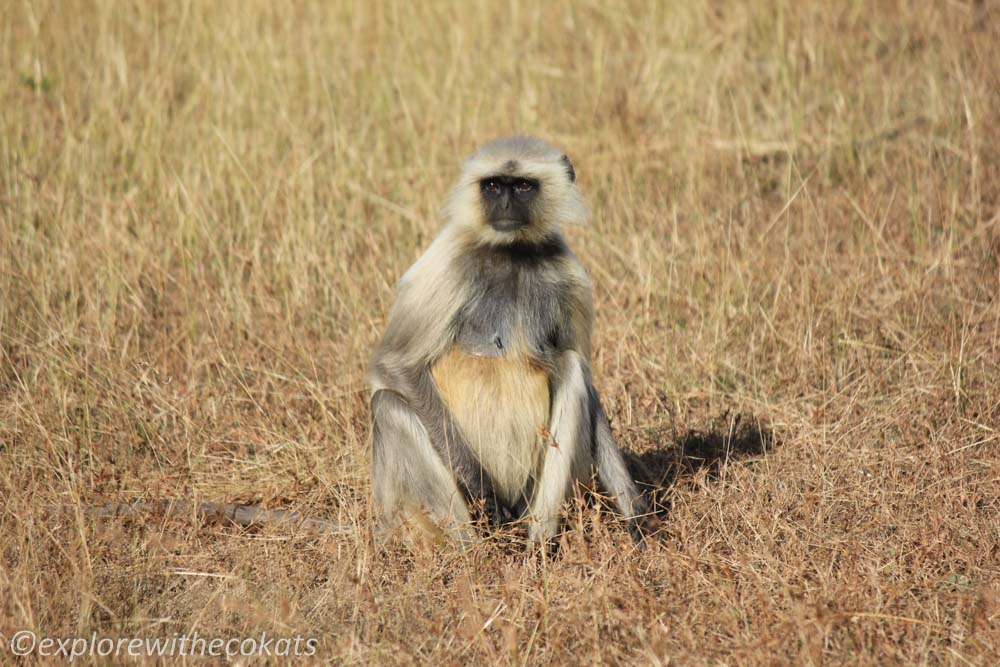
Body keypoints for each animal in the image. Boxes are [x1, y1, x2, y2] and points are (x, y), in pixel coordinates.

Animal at [368, 136, 648, 548]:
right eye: (493, 186)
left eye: (523, 186)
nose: (503, 205)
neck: (512, 251)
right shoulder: (450, 257)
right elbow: (395, 364)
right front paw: (483, 491)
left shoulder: (570, 274)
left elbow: (587, 381)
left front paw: (636, 512)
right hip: (415, 516)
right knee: (387, 404)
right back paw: (473, 552)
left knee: (570, 367)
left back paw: (538, 545)